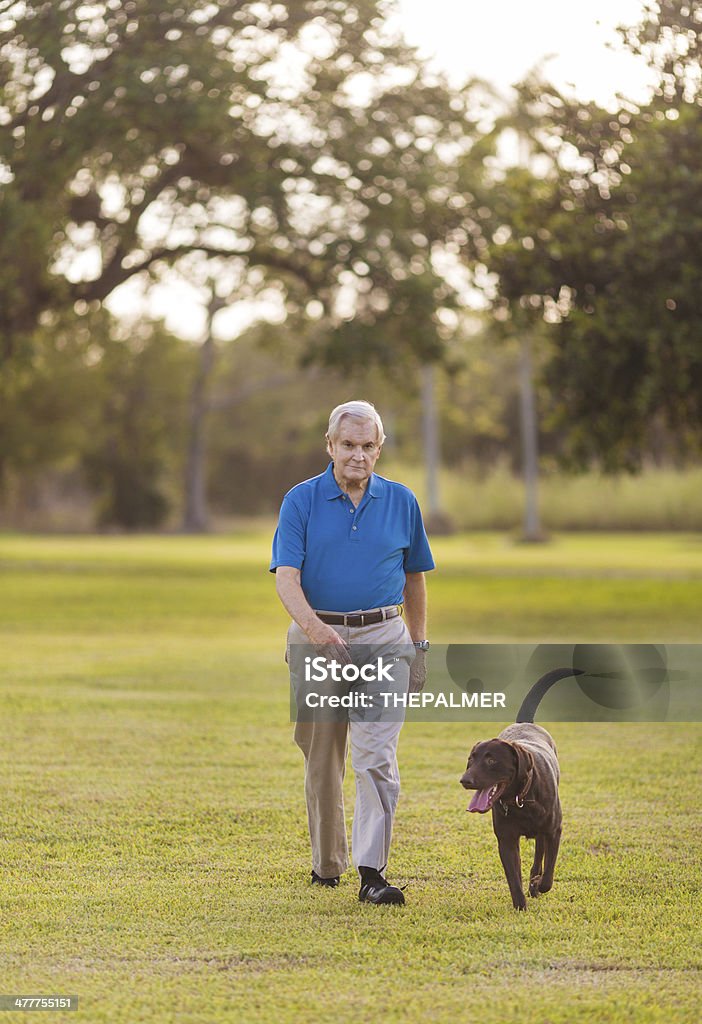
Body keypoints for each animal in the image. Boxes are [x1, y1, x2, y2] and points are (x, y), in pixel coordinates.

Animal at [458, 671, 581, 913]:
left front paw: (538, 885)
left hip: (544, 832)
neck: (520, 799)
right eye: (471, 759)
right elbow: (513, 877)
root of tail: (526, 723)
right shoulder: (506, 840)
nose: (465, 780)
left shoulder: (554, 831)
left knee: (540, 857)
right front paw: (520, 906)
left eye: (491, 760)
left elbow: (548, 872)